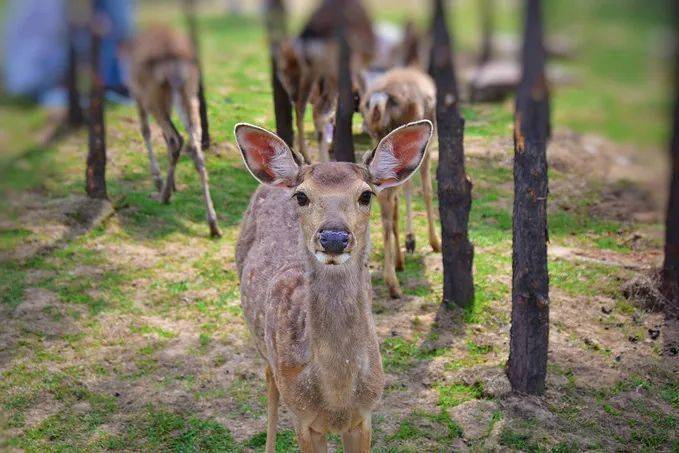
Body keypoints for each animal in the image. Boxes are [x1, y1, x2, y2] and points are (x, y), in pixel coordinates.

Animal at [128, 25, 223, 238]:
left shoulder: (136, 92)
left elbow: (145, 130)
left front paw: (158, 179)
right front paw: (172, 184)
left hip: (153, 94)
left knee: (175, 138)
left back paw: (162, 195)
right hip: (188, 91)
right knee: (194, 146)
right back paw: (213, 224)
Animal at [236, 118, 432, 450]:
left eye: (366, 195)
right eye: (302, 196)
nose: (333, 238)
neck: (337, 398)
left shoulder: (364, 416)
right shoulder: (303, 419)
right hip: (261, 340)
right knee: (269, 378)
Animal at [358, 66, 444, 296]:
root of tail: (379, 98)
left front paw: (408, 243)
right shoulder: (428, 148)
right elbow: (426, 189)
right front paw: (434, 242)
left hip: (379, 139)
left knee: (386, 199)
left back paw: (396, 264)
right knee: (387, 202)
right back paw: (392, 283)